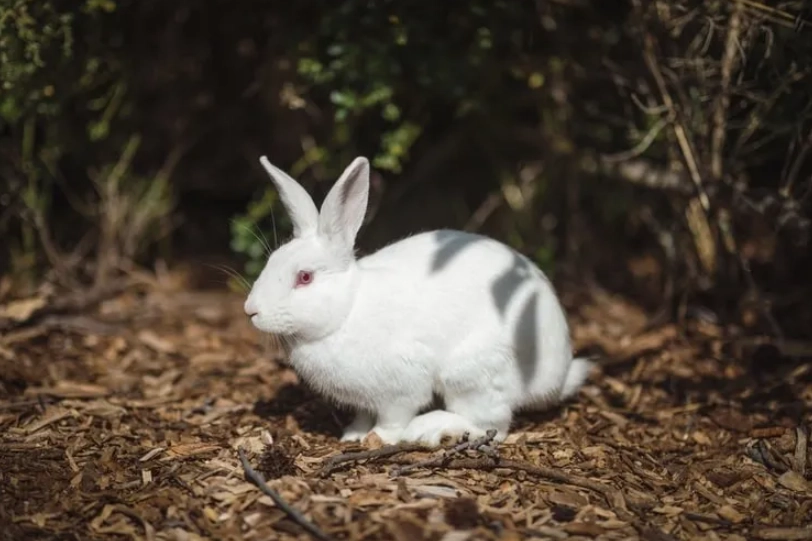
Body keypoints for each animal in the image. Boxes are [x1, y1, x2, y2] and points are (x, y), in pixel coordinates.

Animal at [243, 155, 593, 447]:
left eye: (304, 277)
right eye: (271, 260)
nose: (251, 311)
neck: (347, 311)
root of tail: (558, 374)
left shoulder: (401, 389)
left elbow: (393, 418)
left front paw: (378, 438)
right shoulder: (364, 400)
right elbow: (363, 414)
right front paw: (352, 435)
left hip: (472, 375)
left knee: (492, 425)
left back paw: (430, 429)